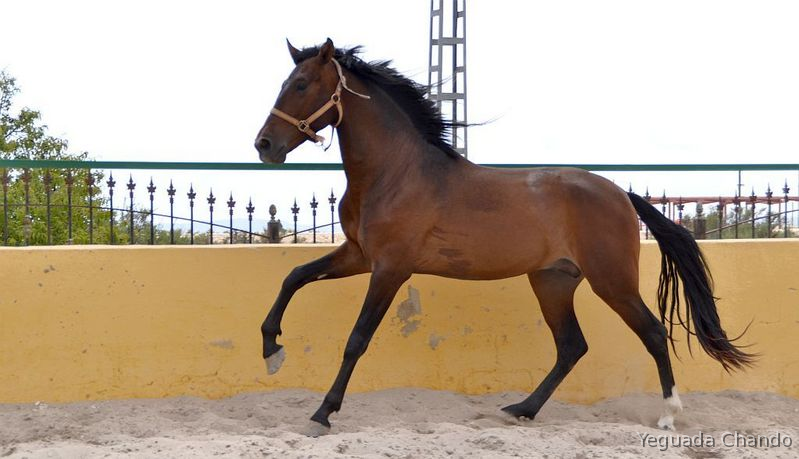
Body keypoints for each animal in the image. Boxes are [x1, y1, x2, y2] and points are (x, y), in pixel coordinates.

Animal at [253, 38, 753, 433]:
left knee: (652, 332)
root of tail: (622, 195)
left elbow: (357, 338)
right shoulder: (358, 255)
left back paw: (668, 414)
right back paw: (521, 409)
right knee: (572, 346)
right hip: (552, 281)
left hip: (612, 281)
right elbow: (294, 277)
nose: (264, 146)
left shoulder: (390, 269)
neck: (395, 172)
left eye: (301, 85)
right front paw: (272, 349)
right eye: (284, 83)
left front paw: (323, 412)